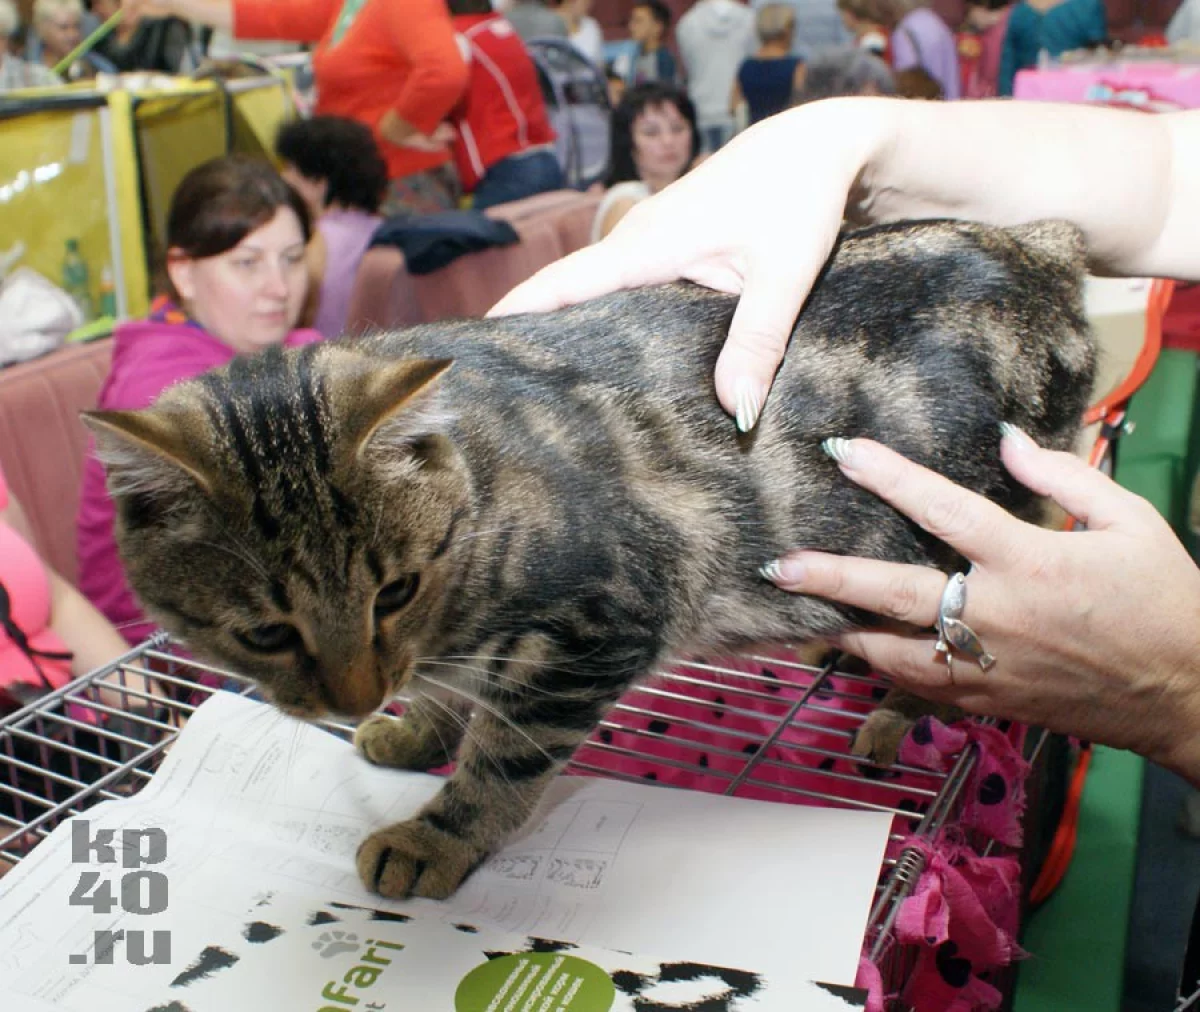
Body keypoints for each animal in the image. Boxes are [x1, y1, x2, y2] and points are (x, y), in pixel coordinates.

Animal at [84, 218, 1096, 902]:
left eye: (393, 590)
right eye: (264, 633)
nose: (356, 697)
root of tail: (1042, 253)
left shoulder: (599, 624)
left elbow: (505, 758)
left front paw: (436, 837)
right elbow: (449, 693)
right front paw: (416, 731)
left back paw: (896, 710)